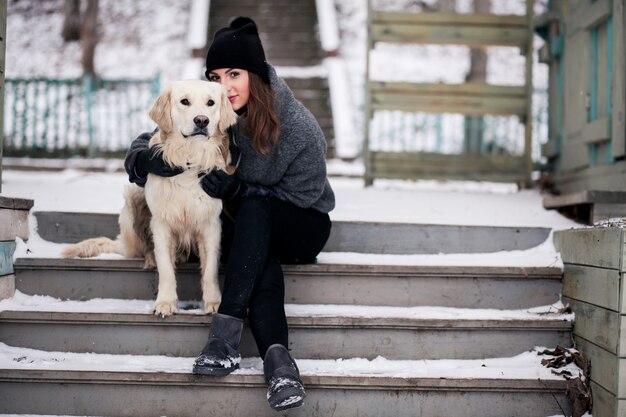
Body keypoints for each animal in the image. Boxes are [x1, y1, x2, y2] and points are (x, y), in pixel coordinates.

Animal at [61, 80, 236, 316]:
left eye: (211, 103)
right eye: (184, 101)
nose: (201, 120)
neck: (189, 159)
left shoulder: (210, 224)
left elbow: (209, 270)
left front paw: (214, 302)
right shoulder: (161, 223)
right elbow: (166, 268)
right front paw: (165, 302)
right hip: (133, 196)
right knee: (146, 248)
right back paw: (151, 258)